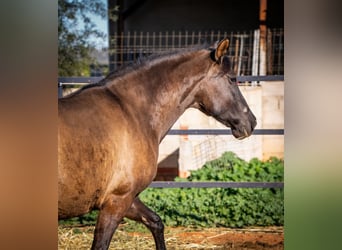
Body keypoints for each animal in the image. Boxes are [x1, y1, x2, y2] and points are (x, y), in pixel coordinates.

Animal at [58, 38, 256, 249]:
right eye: (232, 79)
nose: (252, 122)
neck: (131, 112)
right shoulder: (117, 201)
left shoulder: (126, 198)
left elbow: (156, 222)